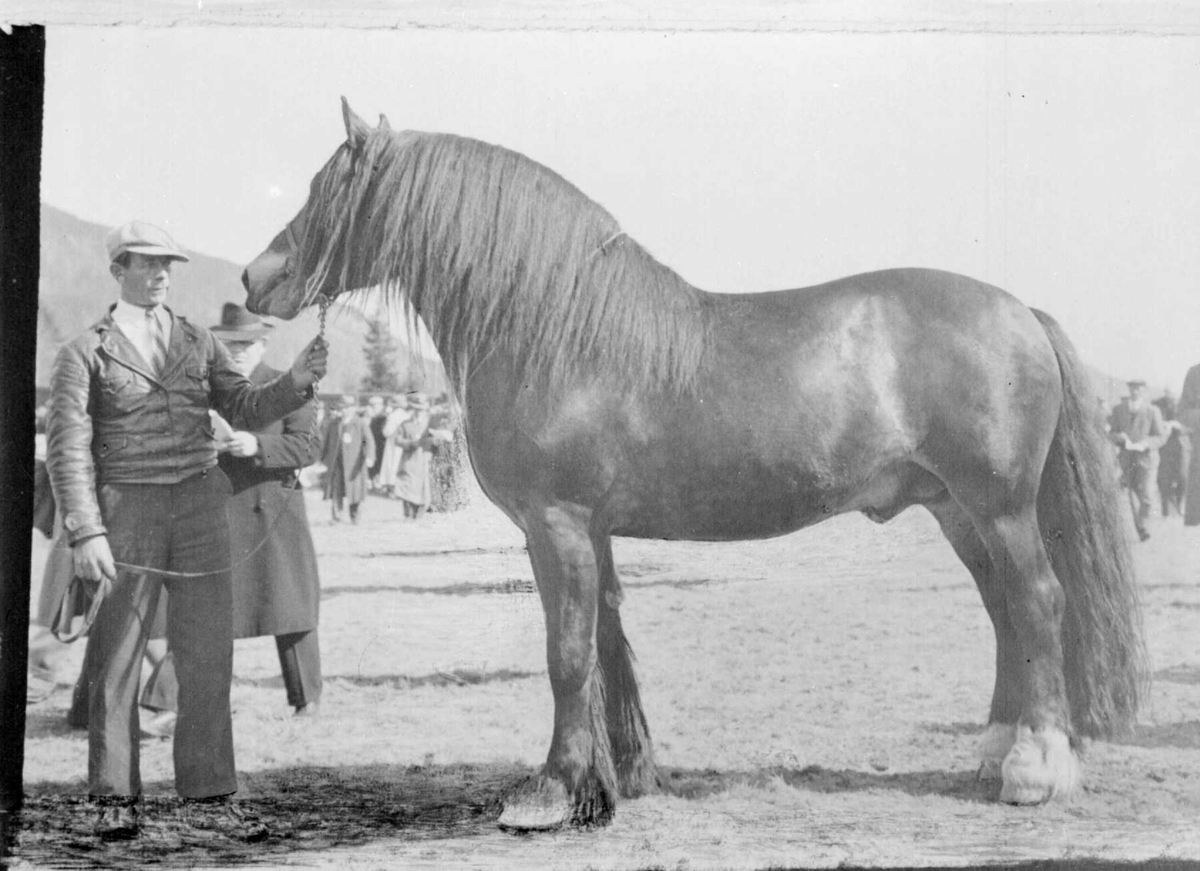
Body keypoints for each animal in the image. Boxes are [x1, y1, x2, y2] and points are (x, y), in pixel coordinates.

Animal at [238, 98, 1147, 830]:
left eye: (327, 188)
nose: (254, 276)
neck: (554, 332)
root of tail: (1017, 309)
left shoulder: (556, 523)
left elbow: (566, 654)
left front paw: (549, 794)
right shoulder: (588, 530)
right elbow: (605, 642)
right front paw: (620, 777)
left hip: (999, 507)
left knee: (1038, 602)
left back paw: (1035, 769)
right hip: (956, 509)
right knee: (1003, 612)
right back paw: (996, 752)